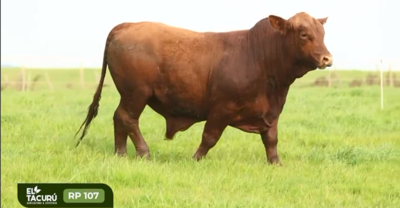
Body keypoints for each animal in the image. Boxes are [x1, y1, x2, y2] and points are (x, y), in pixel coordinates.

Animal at [74, 12, 332, 165]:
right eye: (303, 34)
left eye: (322, 33)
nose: (327, 59)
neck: (258, 56)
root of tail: (125, 25)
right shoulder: (221, 109)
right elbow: (210, 137)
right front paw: (196, 159)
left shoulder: (271, 111)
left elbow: (271, 139)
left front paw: (275, 163)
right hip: (136, 93)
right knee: (127, 119)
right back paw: (143, 152)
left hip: (129, 95)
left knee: (119, 118)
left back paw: (120, 153)